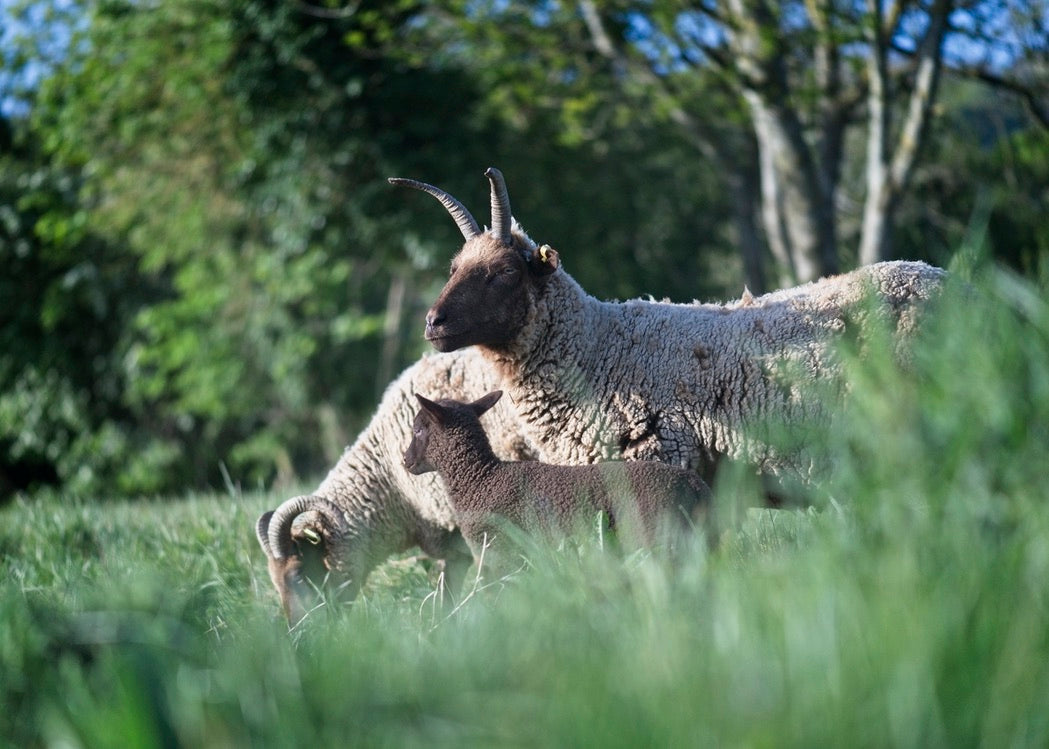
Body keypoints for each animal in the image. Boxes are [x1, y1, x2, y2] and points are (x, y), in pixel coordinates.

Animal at [389, 167, 946, 491]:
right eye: (454, 266)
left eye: (504, 272)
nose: (433, 323)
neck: (597, 350)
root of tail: (942, 278)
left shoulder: (660, 457)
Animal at [403, 390, 712, 570]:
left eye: (418, 429)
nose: (405, 460)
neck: (480, 478)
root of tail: (696, 485)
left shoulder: (500, 554)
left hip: (657, 539)